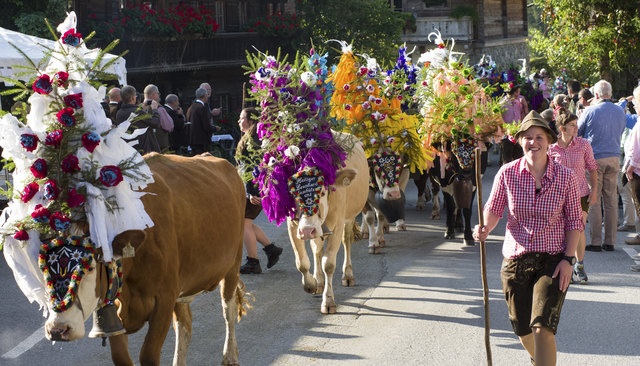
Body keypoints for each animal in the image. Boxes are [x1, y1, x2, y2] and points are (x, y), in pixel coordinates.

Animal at [43, 154, 248, 366]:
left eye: (90, 267)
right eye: (44, 267)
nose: (57, 329)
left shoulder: (164, 301)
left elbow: (148, 355)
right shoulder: (114, 310)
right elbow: (121, 357)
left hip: (233, 263)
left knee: (228, 309)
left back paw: (230, 355)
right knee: (185, 324)